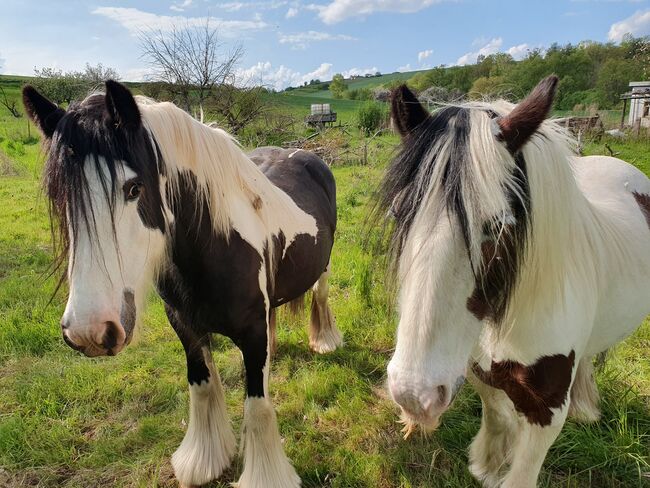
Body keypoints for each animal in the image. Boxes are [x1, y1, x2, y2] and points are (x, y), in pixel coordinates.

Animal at [22, 82, 342, 486]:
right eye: (61, 194)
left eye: (134, 188)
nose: (88, 331)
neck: (217, 245)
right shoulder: (185, 326)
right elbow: (202, 388)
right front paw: (204, 461)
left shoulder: (252, 335)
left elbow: (257, 407)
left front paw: (264, 475)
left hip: (324, 267)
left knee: (322, 296)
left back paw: (325, 340)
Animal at [374, 74, 648, 486]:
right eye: (398, 213)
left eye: (498, 226)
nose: (413, 394)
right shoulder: (476, 368)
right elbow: (496, 412)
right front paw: (488, 463)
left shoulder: (546, 410)